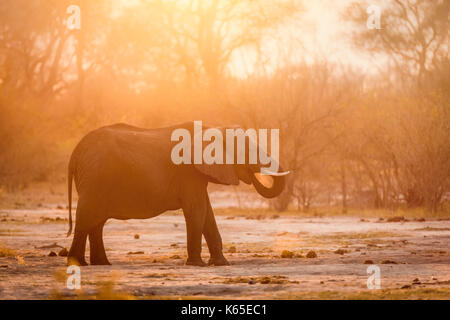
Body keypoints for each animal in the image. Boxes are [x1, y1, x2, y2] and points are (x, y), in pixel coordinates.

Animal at [66, 121, 284, 266]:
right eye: (246, 151)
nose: (253, 175)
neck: (210, 128)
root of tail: (75, 153)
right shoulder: (188, 173)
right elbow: (197, 210)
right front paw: (197, 265)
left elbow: (207, 213)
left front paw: (221, 264)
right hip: (96, 178)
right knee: (87, 215)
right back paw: (78, 264)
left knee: (97, 221)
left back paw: (102, 263)